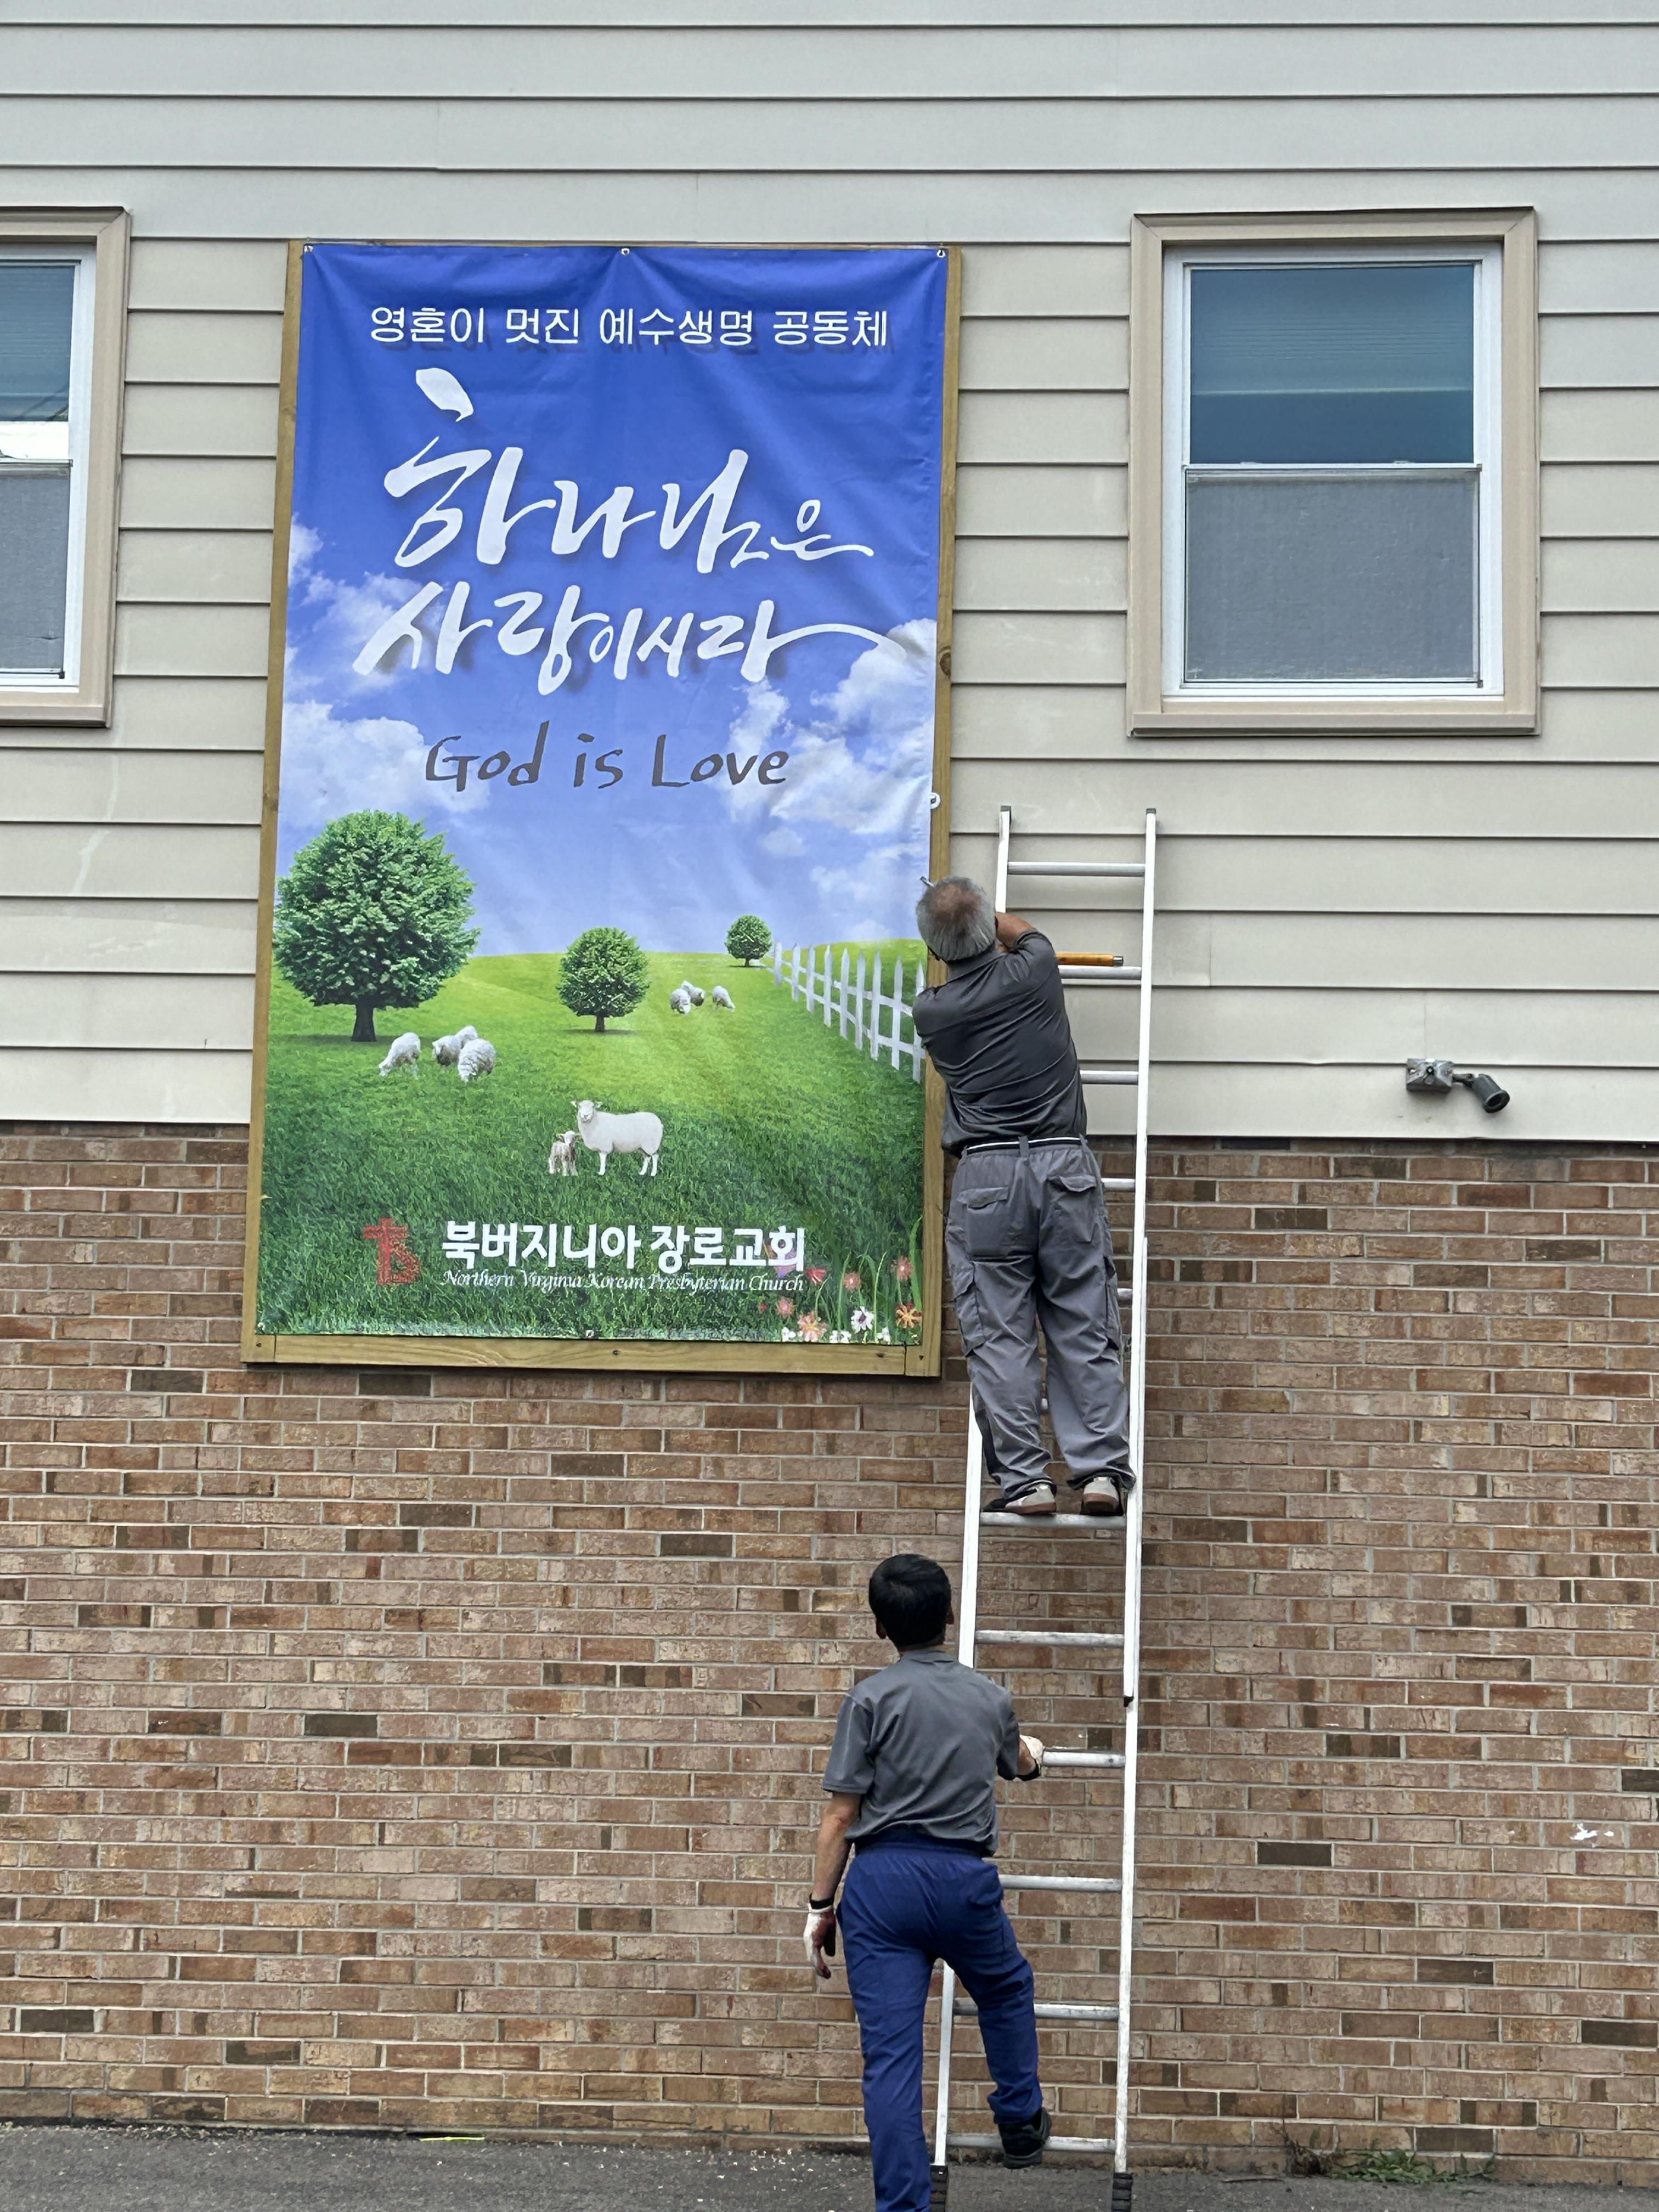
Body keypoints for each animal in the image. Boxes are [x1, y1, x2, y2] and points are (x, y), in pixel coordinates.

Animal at [574, 1098, 663, 1177]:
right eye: (580, 1106)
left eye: (593, 1106)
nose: (585, 1116)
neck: (595, 1122)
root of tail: (659, 1122)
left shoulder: (604, 1146)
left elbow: (603, 1160)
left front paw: (601, 1173)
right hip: (643, 1146)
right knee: (647, 1158)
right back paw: (642, 1173)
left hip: (651, 1144)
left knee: (655, 1157)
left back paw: (653, 1174)